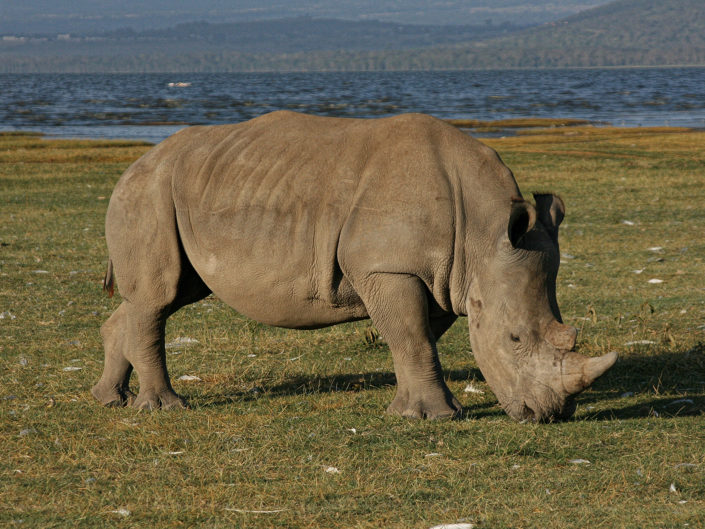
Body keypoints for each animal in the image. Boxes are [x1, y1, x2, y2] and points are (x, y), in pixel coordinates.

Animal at [92, 111, 616, 422]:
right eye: (514, 339)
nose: (546, 415)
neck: (483, 235)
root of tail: (134, 165)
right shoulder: (389, 267)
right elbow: (412, 337)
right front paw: (437, 418)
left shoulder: (442, 277)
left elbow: (414, 337)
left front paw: (408, 410)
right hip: (148, 192)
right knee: (158, 297)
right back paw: (164, 408)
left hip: (185, 191)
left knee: (168, 295)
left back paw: (112, 399)